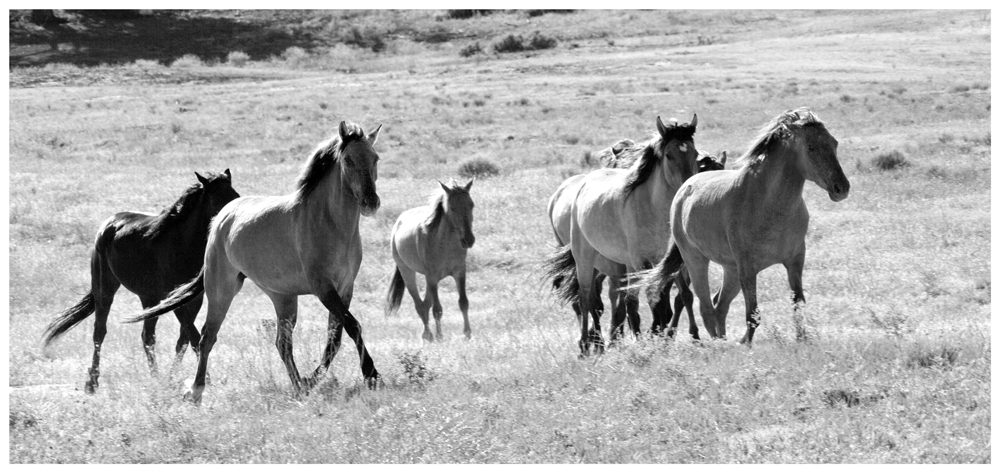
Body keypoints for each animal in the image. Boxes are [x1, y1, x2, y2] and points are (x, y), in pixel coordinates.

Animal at [42, 171, 241, 392]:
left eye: (235, 194)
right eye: (215, 198)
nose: (230, 218)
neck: (183, 245)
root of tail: (109, 223)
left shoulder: (193, 300)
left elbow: (184, 339)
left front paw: (173, 379)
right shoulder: (175, 301)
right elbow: (195, 337)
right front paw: (203, 382)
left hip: (149, 299)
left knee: (147, 337)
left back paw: (155, 378)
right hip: (105, 289)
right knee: (100, 332)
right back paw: (92, 382)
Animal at [124, 121, 386, 402]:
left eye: (375, 158)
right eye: (348, 160)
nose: (371, 202)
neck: (331, 224)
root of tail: (221, 217)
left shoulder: (344, 288)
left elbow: (335, 339)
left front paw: (311, 381)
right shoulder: (323, 288)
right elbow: (353, 326)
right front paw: (372, 376)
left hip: (283, 297)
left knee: (282, 344)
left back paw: (298, 386)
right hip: (222, 290)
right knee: (207, 337)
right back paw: (196, 391)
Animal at [384, 179, 474, 342]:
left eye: (471, 205)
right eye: (452, 208)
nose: (468, 240)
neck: (445, 244)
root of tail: (399, 221)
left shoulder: (459, 272)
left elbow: (463, 302)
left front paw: (467, 334)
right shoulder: (431, 276)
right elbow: (437, 309)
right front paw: (440, 336)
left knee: (426, 304)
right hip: (408, 272)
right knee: (419, 305)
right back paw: (428, 335)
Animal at [544, 116, 700, 356]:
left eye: (694, 153)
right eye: (669, 155)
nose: (688, 186)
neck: (651, 207)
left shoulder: (666, 261)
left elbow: (670, 298)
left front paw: (670, 338)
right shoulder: (640, 261)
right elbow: (645, 300)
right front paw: (649, 342)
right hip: (585, 258)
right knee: (586, 297)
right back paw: (586, 345)